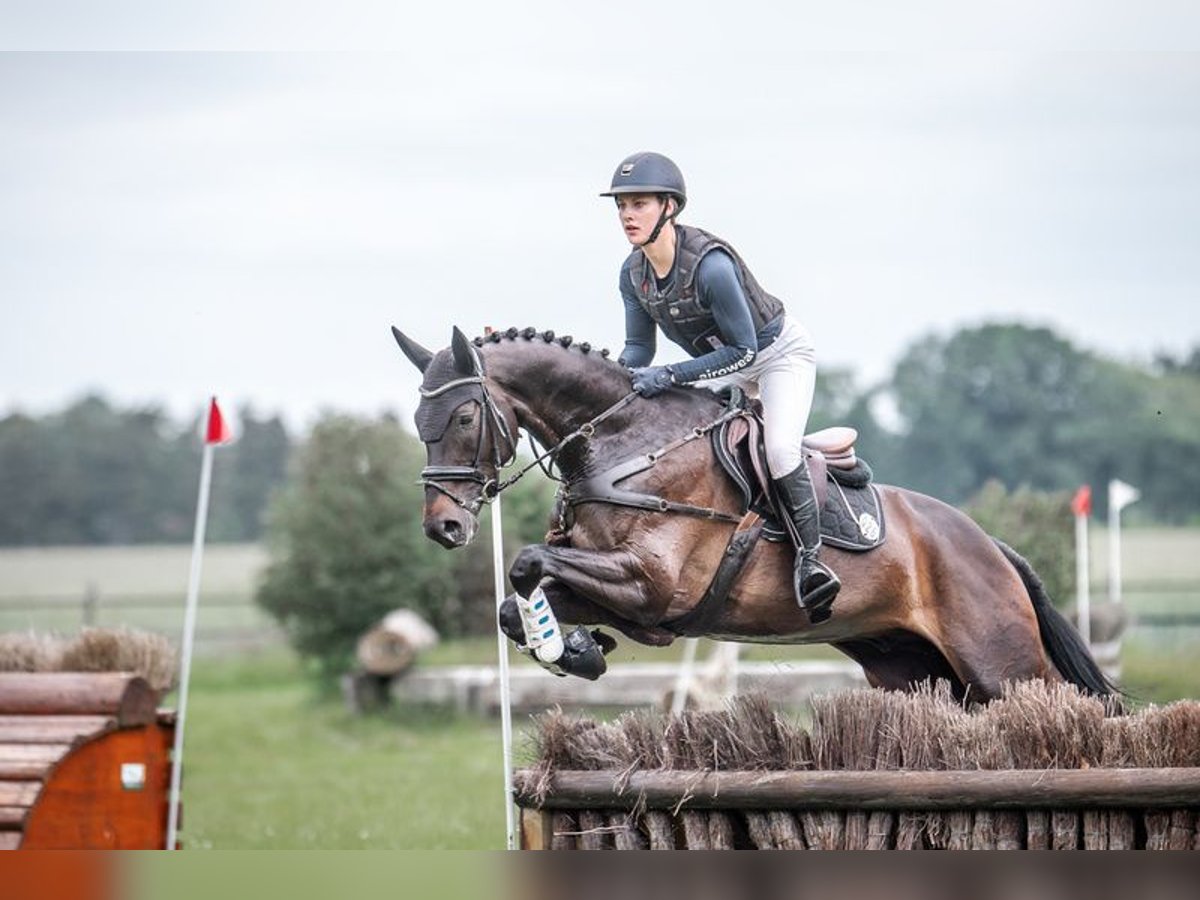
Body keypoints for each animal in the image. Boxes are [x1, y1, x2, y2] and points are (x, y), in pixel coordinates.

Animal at [393, 324, 1113, 705]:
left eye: (463, 418)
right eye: (417, 423)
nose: (443, 527)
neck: (625, 442)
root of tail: (990, 545)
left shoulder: (650, 584)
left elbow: (524, 563)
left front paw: (560, 648)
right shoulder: (623, 594)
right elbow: (516, 599)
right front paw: (577, 650)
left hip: (1001, 664)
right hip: (914, 669)